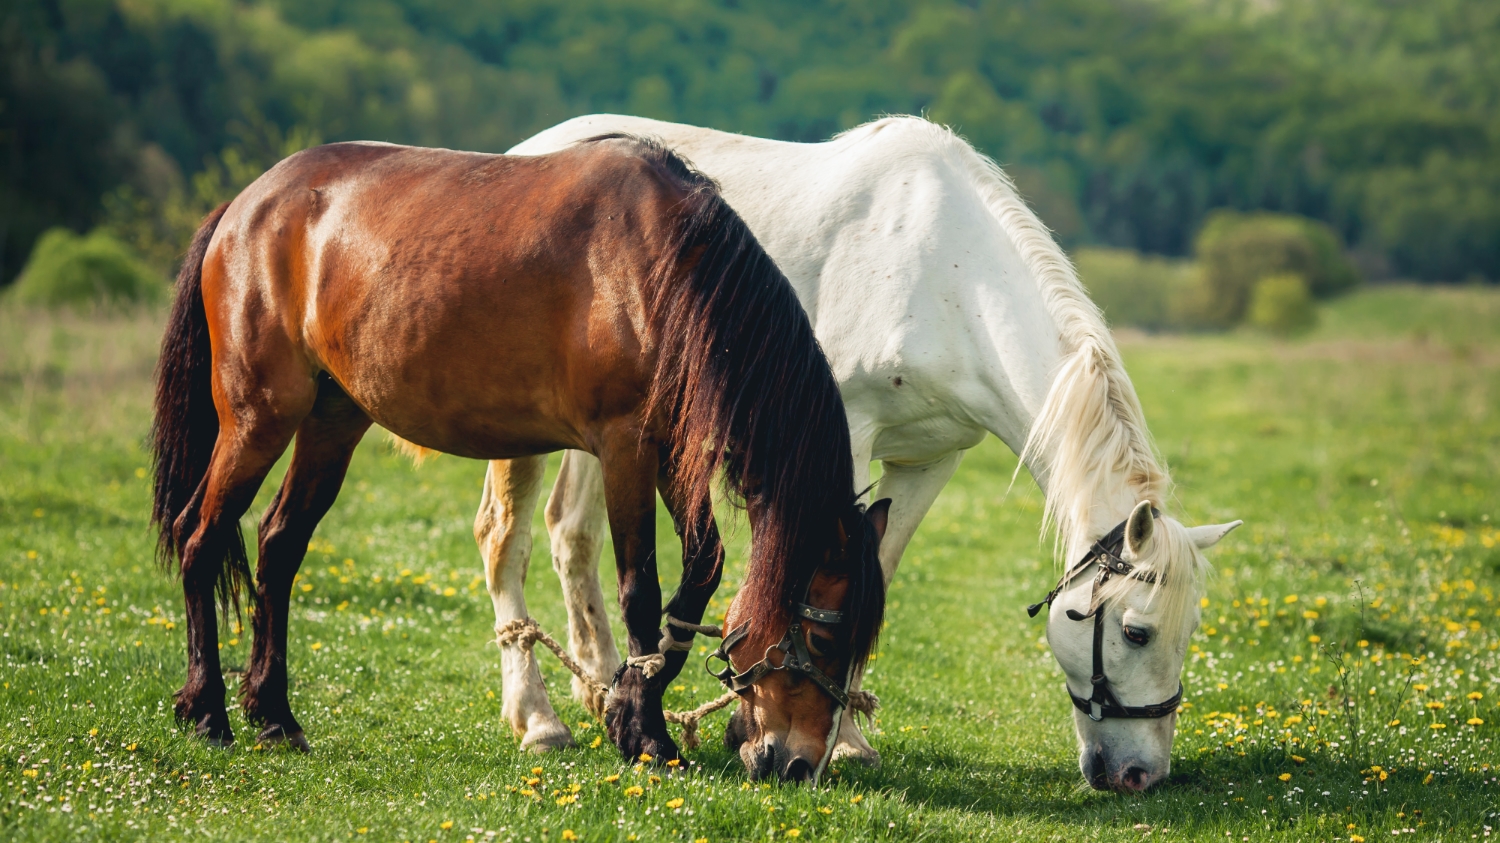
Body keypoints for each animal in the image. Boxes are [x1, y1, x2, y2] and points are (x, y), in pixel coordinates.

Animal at [146, 134, 882, 780]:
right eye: (822, 639)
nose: (797, 764)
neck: (664, 269)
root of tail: (246, 206)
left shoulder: (672, 450)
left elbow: (699, 572)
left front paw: (628, 705)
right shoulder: (625, 447)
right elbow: (640, 590)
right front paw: (645, 732)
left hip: (332, 421)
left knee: (278, 546)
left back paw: (273, 715)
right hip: (258, 418)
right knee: (201, 537)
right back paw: (208, 710)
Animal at [471, 113, 1242, 786]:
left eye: (1191, 630)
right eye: (1136, 632)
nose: (1141, 775)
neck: (949, 278)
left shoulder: (930, 459)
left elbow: (878, 573)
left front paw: (840, 734)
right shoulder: (842, 440)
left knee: (572, 534)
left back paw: (606, 689)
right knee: (506, 539)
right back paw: (539, 719)